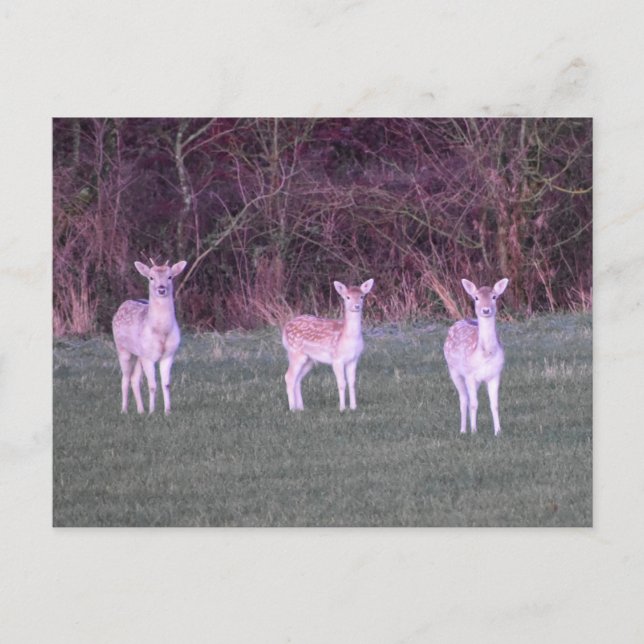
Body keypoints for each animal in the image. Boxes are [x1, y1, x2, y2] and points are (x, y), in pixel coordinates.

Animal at [112, 259, 187, 415]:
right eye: (151, 277)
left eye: (170, 276)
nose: (161, 289)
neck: (161, 332)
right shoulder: (147, 356)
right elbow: (152, 385)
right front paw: (152, 411)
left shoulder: (169, 354)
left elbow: (166, 384)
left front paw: (167, 411)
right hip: (122, 349)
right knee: (125, 378)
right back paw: (124, 410)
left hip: (138, 355)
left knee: (134, 379)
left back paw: (140, 410)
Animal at [282, 279, 374, 411]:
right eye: (347, 297)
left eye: (362, 296)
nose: (357, 306)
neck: (347, 338)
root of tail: (285, 328)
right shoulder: (336, 358)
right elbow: (341, 383)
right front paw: (342, 408)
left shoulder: (353, 359)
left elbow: (352, 382)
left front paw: (353, 407)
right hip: (295, 352)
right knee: (288, 376)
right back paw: (292, 408)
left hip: (309, 360)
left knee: (297, 379)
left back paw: (301, 408)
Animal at [443, 278, 509, 436]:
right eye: (476, 298)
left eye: (494, 297)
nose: (486, 310)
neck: (485, 354)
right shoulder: (470, 375)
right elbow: (474, 404)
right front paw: (474, 431)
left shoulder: (495, 374)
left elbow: (494, 404)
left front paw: (498, 431)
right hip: (453, 370)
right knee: (463, 399)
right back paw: (463, 430)